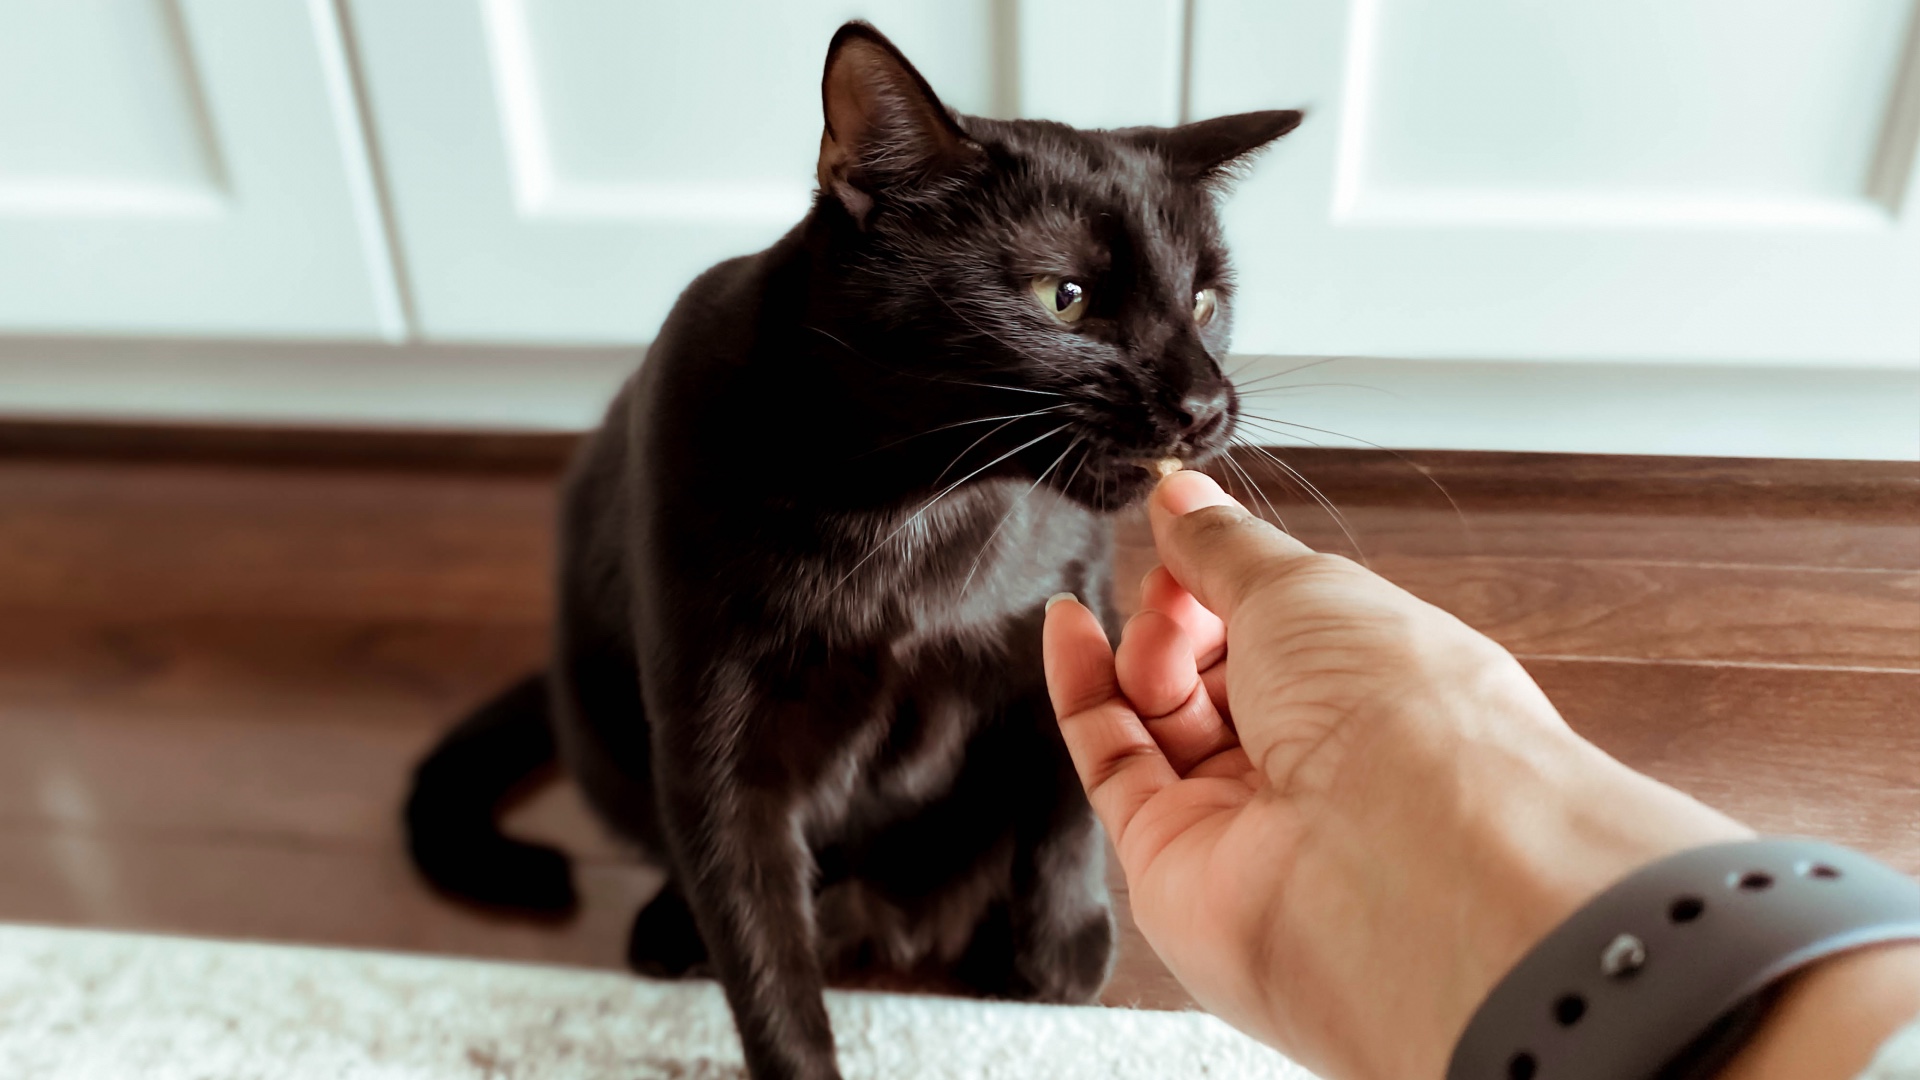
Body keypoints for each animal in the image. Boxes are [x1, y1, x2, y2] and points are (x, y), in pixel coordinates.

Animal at [405, 18, 1305, 1076]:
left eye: (1205, 302)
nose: (1206, 404)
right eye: (1065, 297)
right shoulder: (720, 747)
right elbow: (762, 956)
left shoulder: (1073, 605)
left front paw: (1057, 953)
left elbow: (1066, 800)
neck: (914, 515)